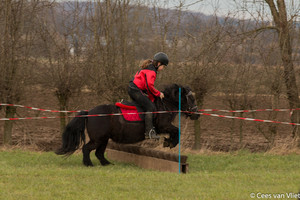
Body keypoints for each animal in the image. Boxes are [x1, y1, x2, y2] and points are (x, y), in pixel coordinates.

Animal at [55, 83, 199, 166]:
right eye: (191, 98)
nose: (197, 114)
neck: (165, 105)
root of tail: (89, 112)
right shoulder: (163, 126)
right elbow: (177, 131)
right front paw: (170, 142)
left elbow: (176, 131)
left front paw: (168, 141)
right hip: (98, 139)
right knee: (87, 149)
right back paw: (89, 164)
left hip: (104, 139)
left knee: (99, 153)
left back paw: (107, 164)